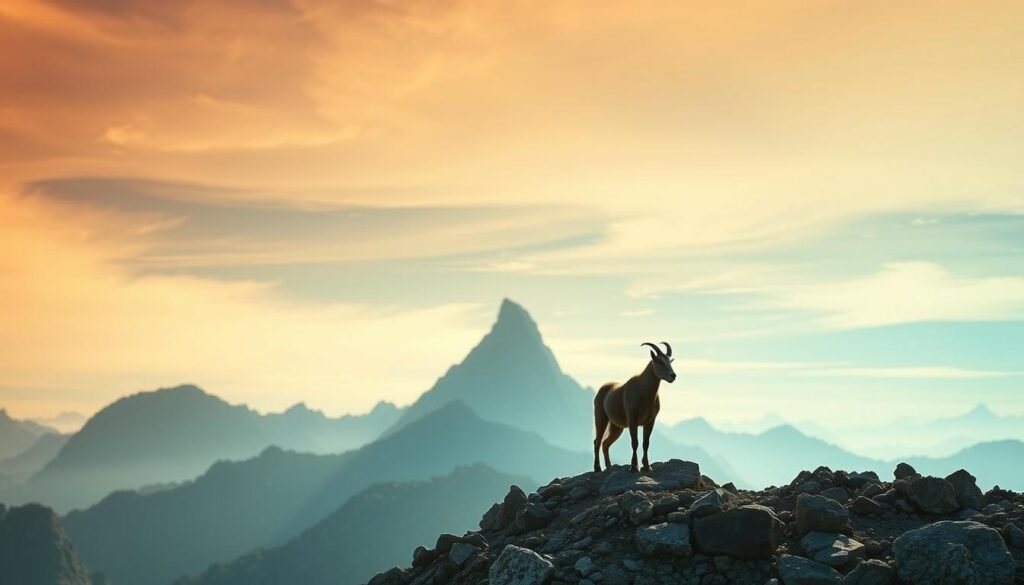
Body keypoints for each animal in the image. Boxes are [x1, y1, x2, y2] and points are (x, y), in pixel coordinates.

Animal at [593, 341, 676, 473]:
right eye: (659, 362)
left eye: (670, 361)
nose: (673, 375)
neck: (644, 392)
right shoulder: (632, 419)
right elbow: (635, 442)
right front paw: (634, 467)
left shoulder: (650, 421)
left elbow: (646, 443)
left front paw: (647, 466)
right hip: (600, 417)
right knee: (597, 441)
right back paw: (597, 468)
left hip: (616, 426)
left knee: (605, 443)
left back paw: (609, 467)